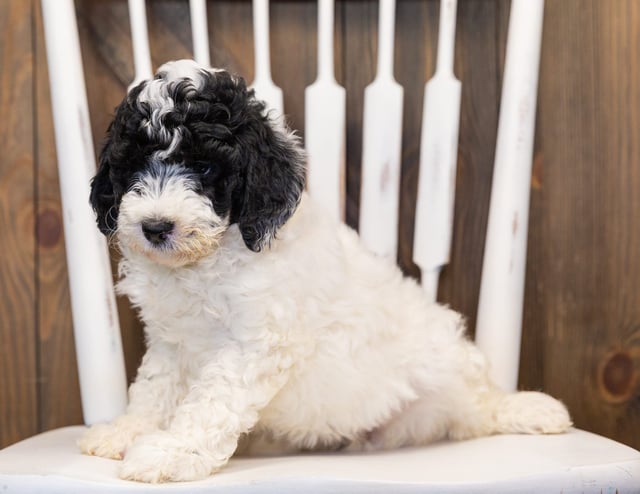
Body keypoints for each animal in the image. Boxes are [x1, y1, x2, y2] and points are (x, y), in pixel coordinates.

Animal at [77, 58, 572, 482]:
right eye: (133, 166)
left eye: (203, 166)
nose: (155, 227)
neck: (206, 261)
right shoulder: (171, 340)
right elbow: (153, 388)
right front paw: (126, 431)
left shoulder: (258, 342)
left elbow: (213, 401)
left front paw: (172, 452)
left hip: (455, 379)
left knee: (482, 409)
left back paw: (521, 410)